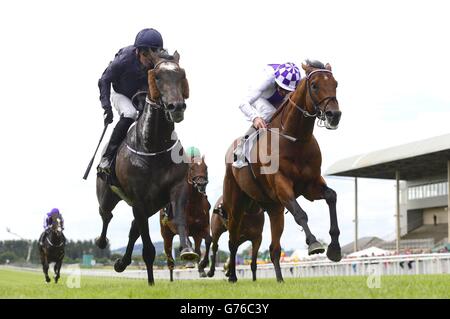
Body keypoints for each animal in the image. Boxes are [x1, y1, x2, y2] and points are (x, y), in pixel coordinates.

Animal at [96, 50, 198, 288]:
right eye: (157, 76)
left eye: (181, 75)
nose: (176, 107)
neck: (154, 145)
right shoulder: (139, 200)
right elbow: (148, 249)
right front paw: (151, 282)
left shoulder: (177, 188)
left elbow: (179, 218)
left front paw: (187, 250)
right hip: (109, 196)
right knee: (106, 215)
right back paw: (102, 242)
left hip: (153, 204)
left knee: (133, 228)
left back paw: (121, 263)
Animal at [223, 60, 342, 282]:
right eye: (314, 85)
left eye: (336, 84)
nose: (334, 115)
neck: (295, 140)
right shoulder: (281, 185)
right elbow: (300, 214)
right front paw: (314, 244)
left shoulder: (311, 185)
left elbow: (331, 196)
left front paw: (335, 249)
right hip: (236, 205)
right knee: (233, 240)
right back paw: (232, 276)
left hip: (273, 208)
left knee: (274, 248)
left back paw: (279, 280)